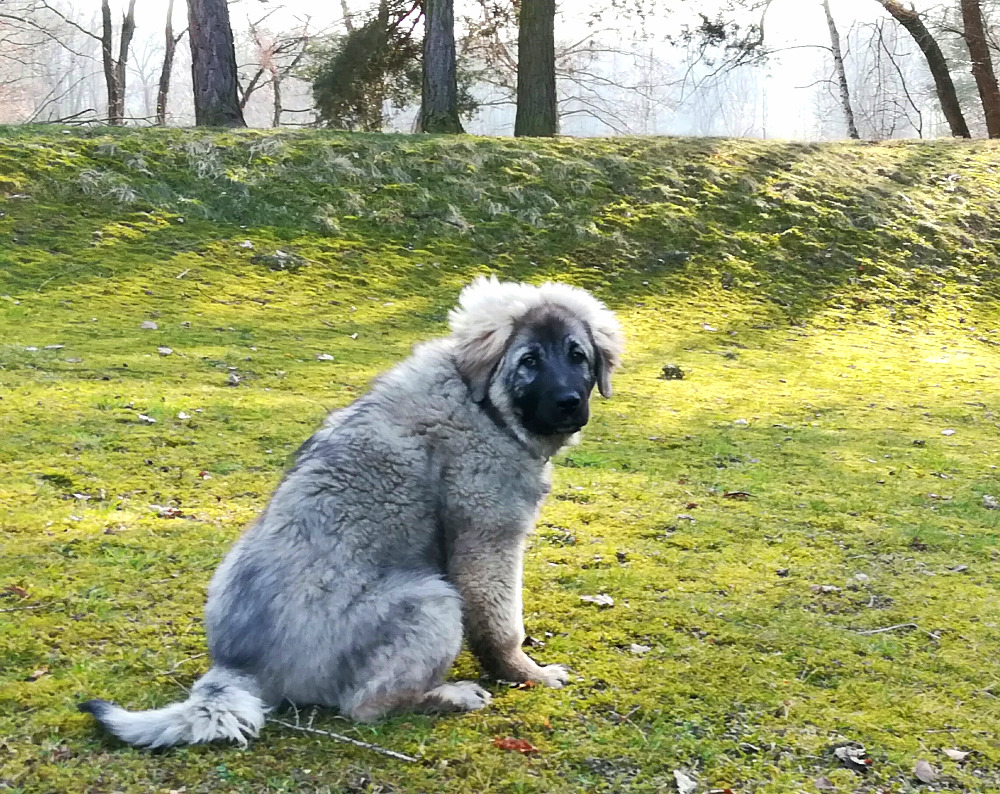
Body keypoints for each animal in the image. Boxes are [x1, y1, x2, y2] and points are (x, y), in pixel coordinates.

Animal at [79, 276, 624, 748]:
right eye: (529, 360)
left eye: (577, 355)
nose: (569, 402)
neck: (485, 404)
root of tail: (237, 666)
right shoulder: (488, 536)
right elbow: (500, 624)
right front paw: (526, 674)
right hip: (432, 599)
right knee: (365, 706)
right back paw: (448, 696)